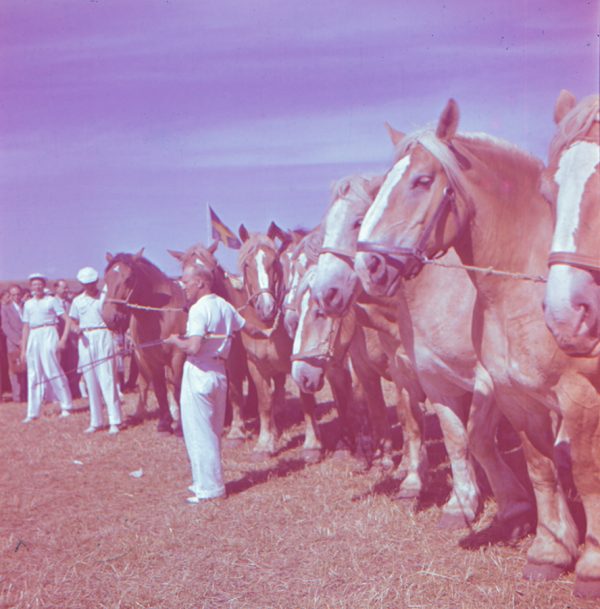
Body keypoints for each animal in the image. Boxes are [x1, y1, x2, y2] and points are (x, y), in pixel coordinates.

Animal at [101, 248, 186, 432]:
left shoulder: (178, 358)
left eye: (129, 278)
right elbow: (160, 388)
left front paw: (181, 425)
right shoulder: (151, 359)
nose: (110, 318)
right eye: (107, 279)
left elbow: (178, 389)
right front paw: (165, 423)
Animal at [354, 97, 600, 596]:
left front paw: (590, 566)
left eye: (421, 180)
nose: (368, 265)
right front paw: (550, 551)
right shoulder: (517, 397)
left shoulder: (579, 397)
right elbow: (540, 469)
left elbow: (587, 474)